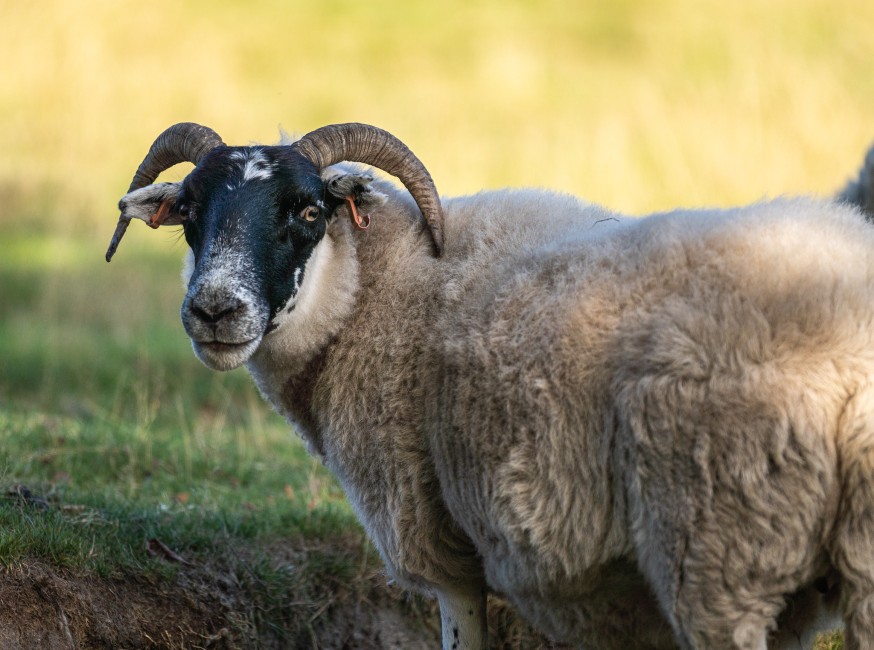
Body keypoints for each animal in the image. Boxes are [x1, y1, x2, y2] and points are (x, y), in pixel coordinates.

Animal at [106, 122, 874, 649]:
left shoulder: (440, 546)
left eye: (308, 212)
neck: (368, 289)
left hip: (716, 547)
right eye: (189, 214)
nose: (214, 310)